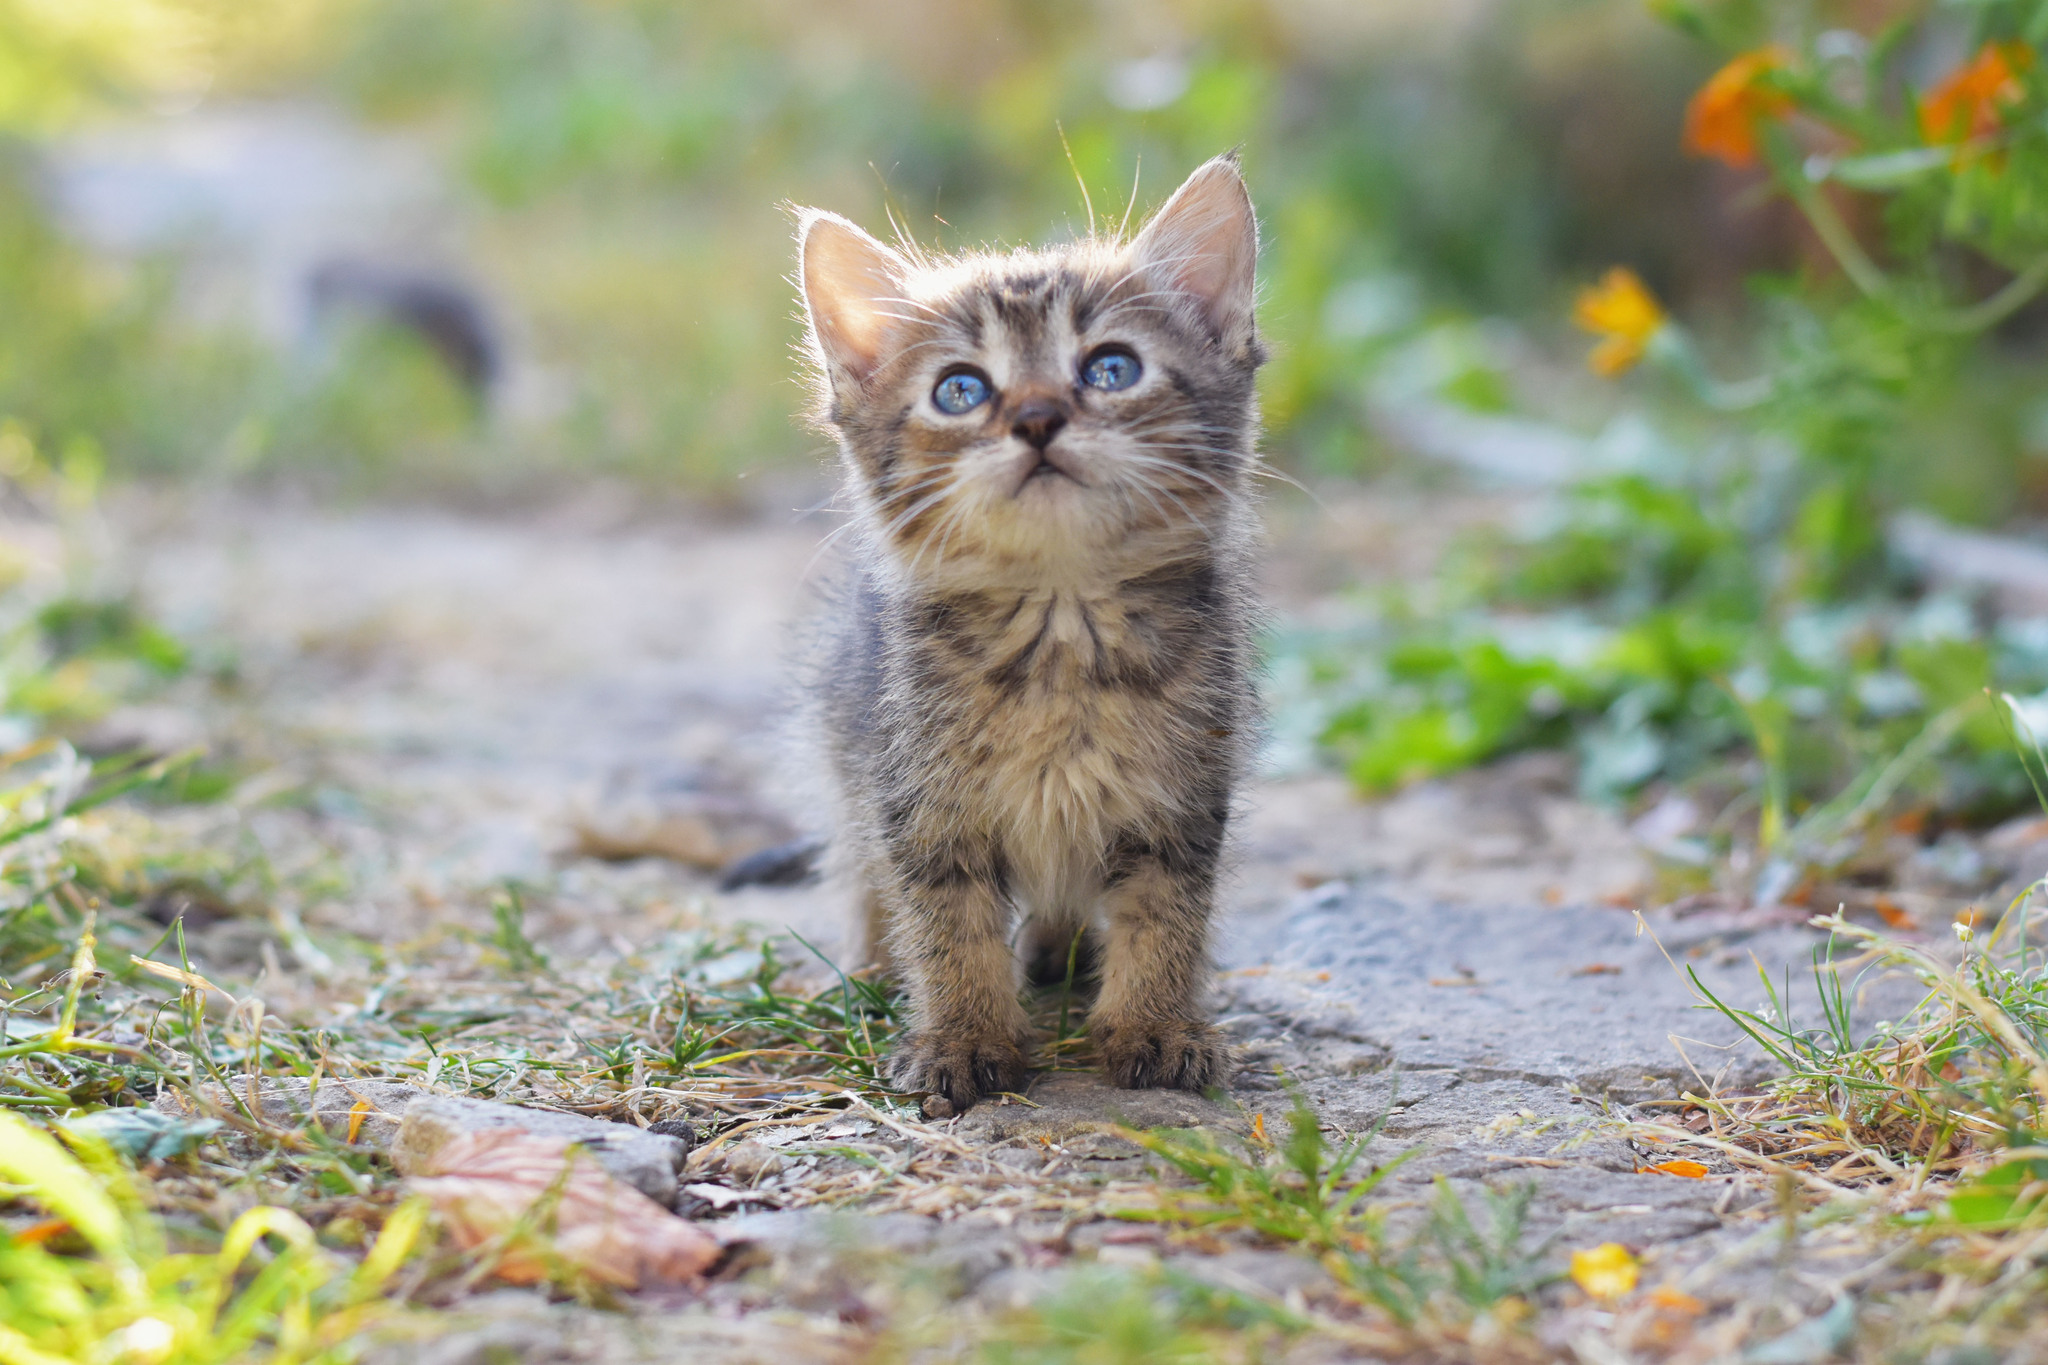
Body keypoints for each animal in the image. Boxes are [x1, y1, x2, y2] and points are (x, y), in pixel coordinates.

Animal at [790, 157, 1253, 1121]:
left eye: (1112, 368)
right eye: (960, 390)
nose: (1037, 417)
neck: (1061, 630)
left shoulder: (1184, 799)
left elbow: (1165, 916)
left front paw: (1155, 1025)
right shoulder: (917, 802)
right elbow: (949, 928)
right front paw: (965, 1038)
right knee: (857, 871)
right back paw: (869, 967)